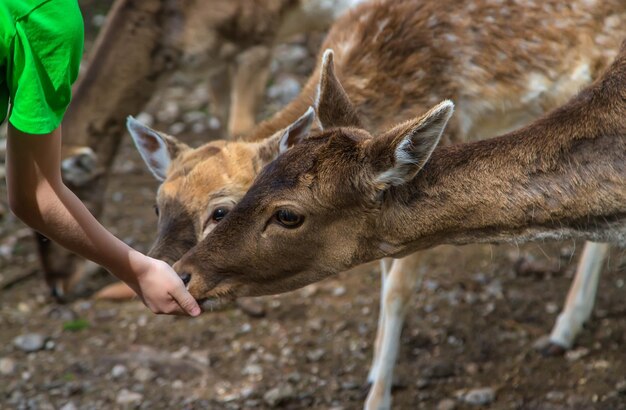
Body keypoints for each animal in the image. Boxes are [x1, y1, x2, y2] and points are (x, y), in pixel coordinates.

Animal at [124, 1, 620, 408]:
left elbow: (397, 290)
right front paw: (373, 372)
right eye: (156, 206)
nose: (170, 275)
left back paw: (564, 328)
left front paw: (378, 394)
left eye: (222, 209)